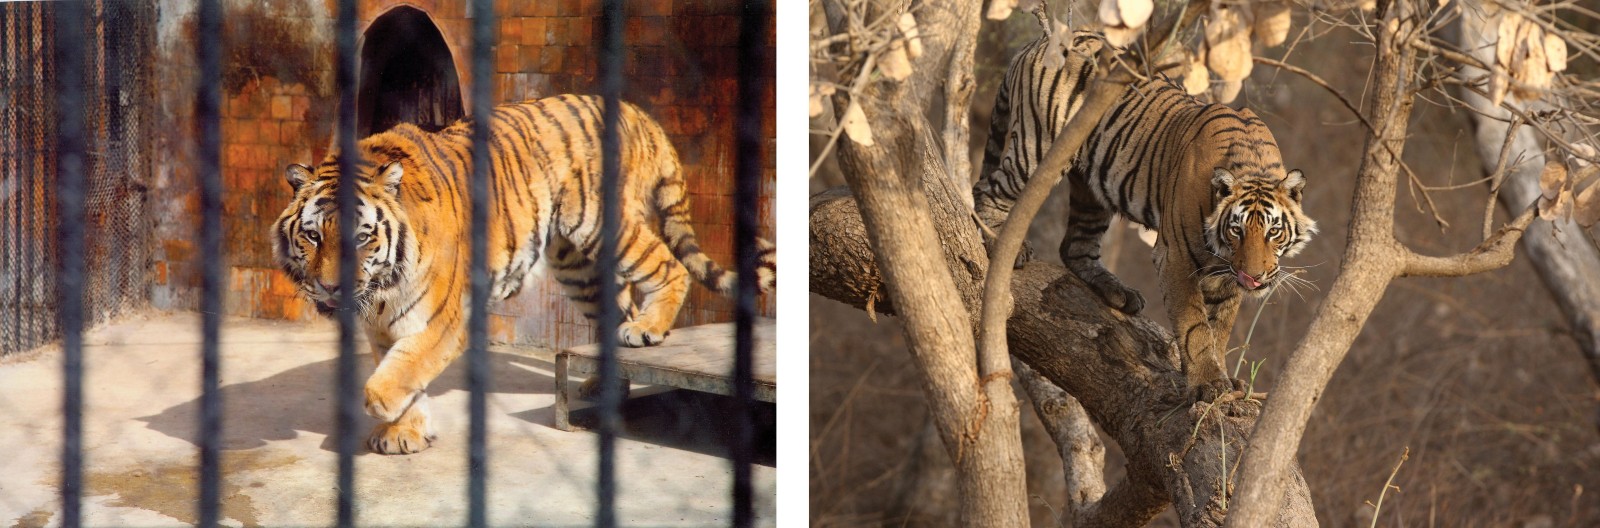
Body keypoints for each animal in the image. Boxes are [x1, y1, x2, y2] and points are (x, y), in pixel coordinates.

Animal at [272, 94, 777, 454]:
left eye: (361, 238)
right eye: (313, 237)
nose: (331, 287)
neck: (380, 288)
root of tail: (640, 114)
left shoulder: (439, 318)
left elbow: (402, 367)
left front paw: (382, 405)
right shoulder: (381, 323)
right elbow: (398, 367)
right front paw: (404, 432)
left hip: (602, 225)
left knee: (669, 267)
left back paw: (647, 329)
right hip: (577, 265)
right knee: (617, 305)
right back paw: (602, 381)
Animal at [966, 24, 1318, 401]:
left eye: (1273, 232)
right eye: (1236, 230)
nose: (1254, 277)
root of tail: (1043, 39)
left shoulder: (1225, 273)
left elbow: (1219, 326)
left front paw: (1224, 377)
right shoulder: (1176, 255)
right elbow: (1195, 324)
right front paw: (1208, 383)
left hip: (1092, 189)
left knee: (1075, 246)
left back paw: (1118, 293)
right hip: (1037, 151)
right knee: (986, 190)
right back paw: (1001, 244)